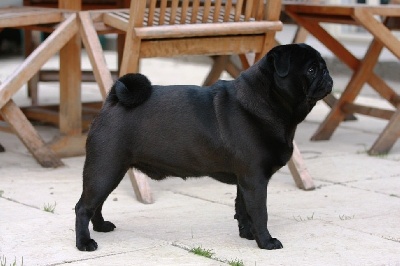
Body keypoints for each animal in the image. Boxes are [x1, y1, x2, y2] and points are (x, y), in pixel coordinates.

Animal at [76, 42, 332, 250]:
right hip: (105, 169)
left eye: (323, 67)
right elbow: (260, 213)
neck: (268, 100)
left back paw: (101, 227)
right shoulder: (255, 180)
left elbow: (242, 209)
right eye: (311, 70)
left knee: (97, 203)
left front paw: (247, 235)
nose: (328, 76)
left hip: (110, 171)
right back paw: (84, 243)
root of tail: (112, 102)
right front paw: (266, 242)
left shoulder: (244, 180)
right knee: (83, 207)